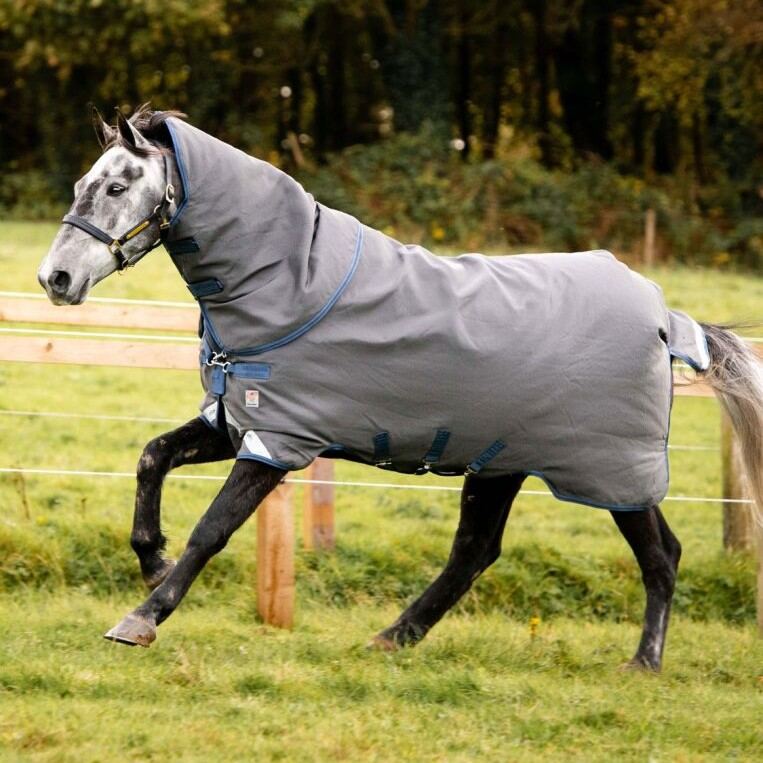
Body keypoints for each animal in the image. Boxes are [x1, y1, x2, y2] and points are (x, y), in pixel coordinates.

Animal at [37, 106, 763, 671]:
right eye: (82, 183)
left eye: (117, 185)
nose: (56, 278)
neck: (291, 284)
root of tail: (666, 319)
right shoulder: (236, 422)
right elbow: (152, 457)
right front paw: (150, 558)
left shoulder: (279, 442)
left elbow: (211, 529)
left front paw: (142, 615)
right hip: (509, 462)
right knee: (476, 552)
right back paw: (392, 637)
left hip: (607, 467)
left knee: (659, 555)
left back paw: (643, 661)